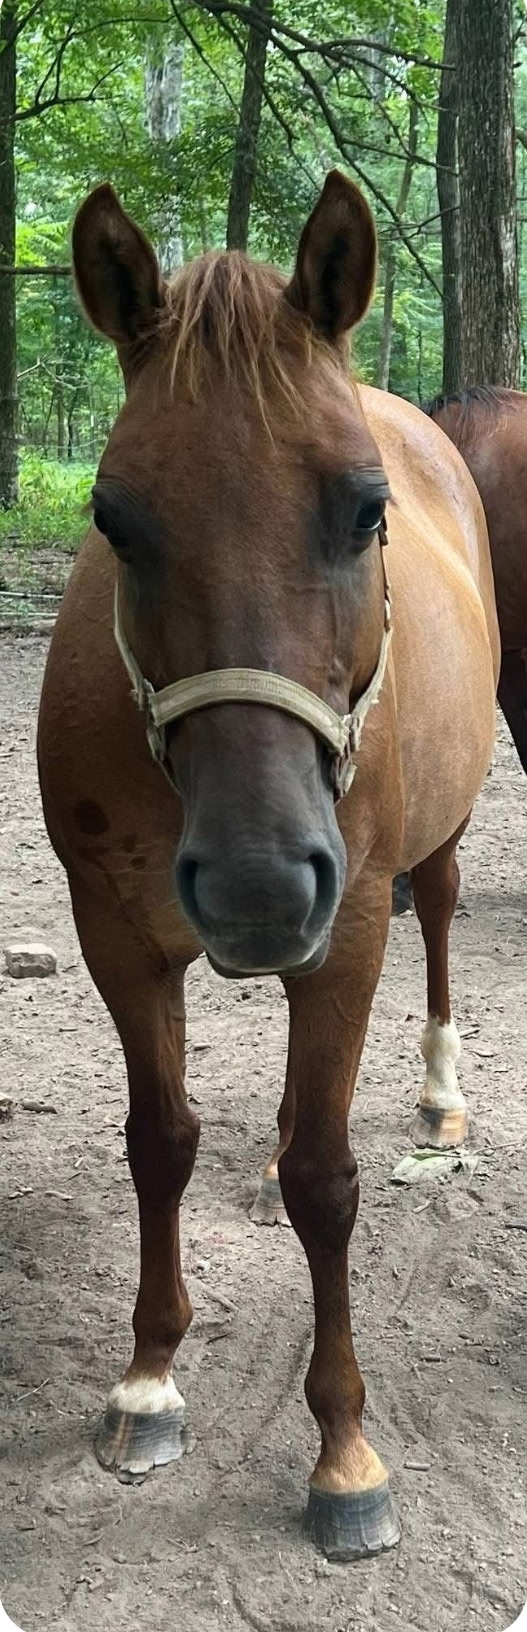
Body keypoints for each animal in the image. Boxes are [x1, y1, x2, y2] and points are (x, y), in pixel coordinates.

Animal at [37, 172, 499, 1563]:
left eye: (364, 509)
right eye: (113, 518)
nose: (254, 885)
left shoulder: (345, 929)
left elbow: (327, 1184)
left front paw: (344, 1454)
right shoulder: (116, 932)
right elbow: (160, 1141)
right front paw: (147, 1378)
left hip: (420, 861)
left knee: (438, 923)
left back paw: (439, 1095)